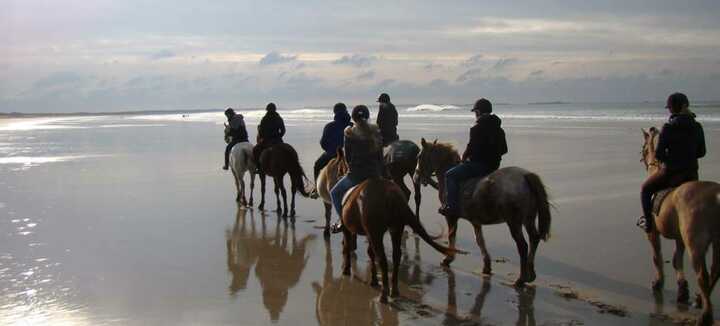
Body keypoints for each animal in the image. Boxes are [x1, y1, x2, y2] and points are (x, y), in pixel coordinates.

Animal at [410, 137, 552, 286]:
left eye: (419, 157)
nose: (416, 177)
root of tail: (525, 176)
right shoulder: (475, 221)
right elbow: (479, 240)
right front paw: (487, 266)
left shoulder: (451, 216)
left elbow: (451, 236)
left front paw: (448, 258)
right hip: (528, 218)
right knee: (534, 238)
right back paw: (531, 274)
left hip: (514, 222)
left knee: (523, 246)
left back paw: (521, 279)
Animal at [640, 127, 720, 326]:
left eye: (644, 148)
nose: (643, 159)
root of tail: (715, 196)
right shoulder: (679, 238)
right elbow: (677, 260)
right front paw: (682, 290)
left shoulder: (653, 233)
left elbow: (657, 257)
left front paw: (658, 282)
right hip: (716, 242)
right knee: (715, 270)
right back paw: (700, 299)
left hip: (695, 243)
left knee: (703, 275)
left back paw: (705, 315)